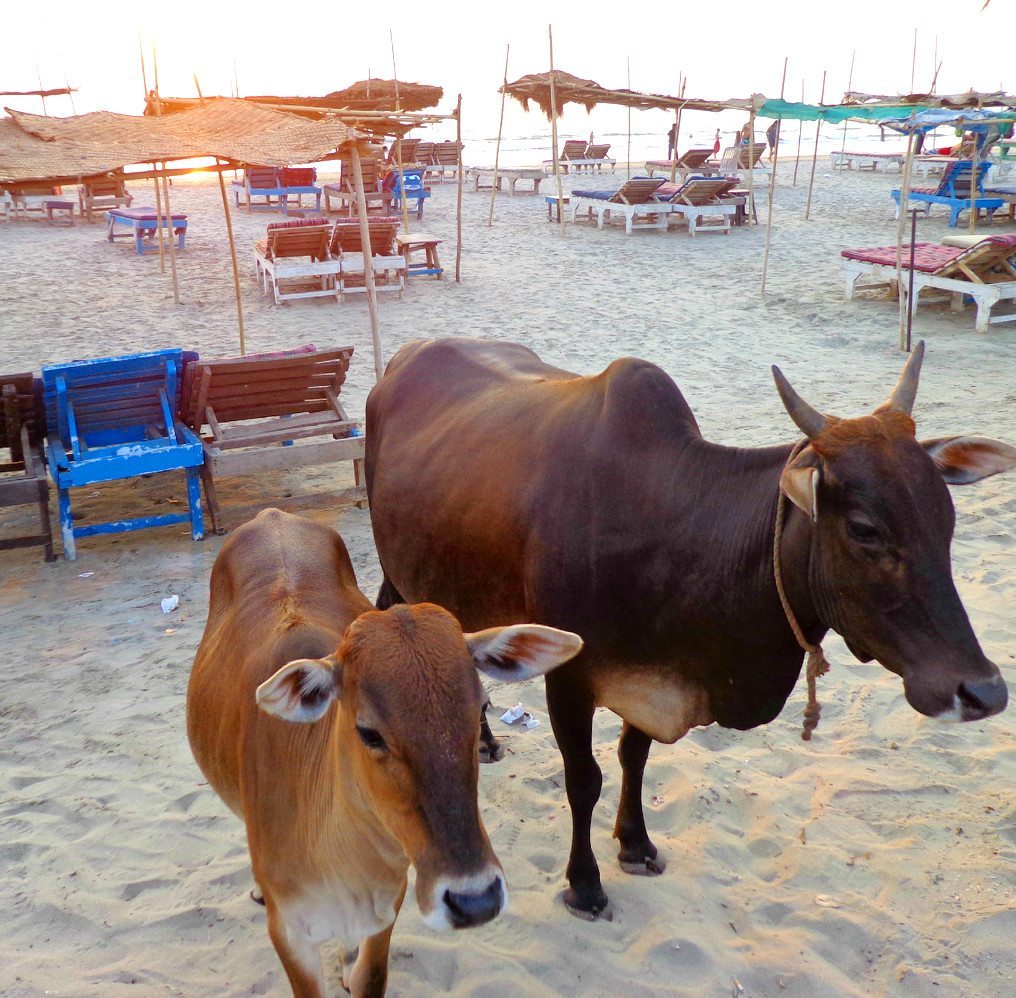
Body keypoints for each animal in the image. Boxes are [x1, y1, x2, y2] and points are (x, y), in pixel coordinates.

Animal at [187, 512, 585, 995]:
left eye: (481, 709)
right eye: (368, 732)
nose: (475, 900)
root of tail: (272, 515)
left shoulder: (385, 907)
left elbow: (368, 974)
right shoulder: (289, 933)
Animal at [361, 341, 1011, 922]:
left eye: (947, 518)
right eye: (864, 528)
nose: (983, 690)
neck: (672, 526)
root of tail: (402, 360)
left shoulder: (654, 675)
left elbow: (633, 757)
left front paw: (635, 843)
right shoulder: (568, 678)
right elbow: (584, 780)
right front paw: (585, 885)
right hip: (401, 572)